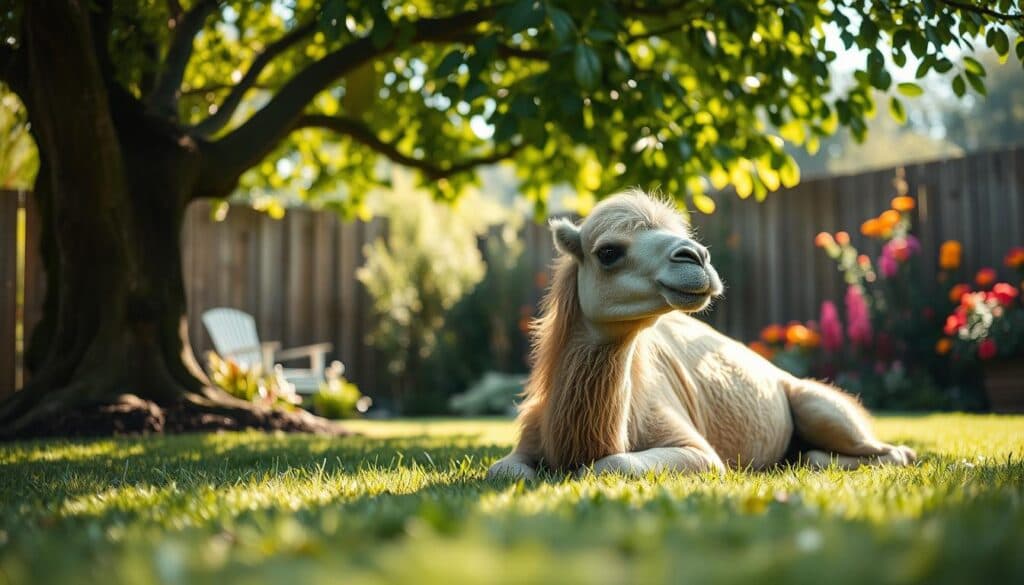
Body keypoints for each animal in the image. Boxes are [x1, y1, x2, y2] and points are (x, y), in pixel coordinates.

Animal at [488, 190, 916, 479]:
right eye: (608, 252)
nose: (696, 256)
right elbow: (503, 470)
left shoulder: (697, 451)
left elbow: (610, 464)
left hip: (821, 406)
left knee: (890, 451)